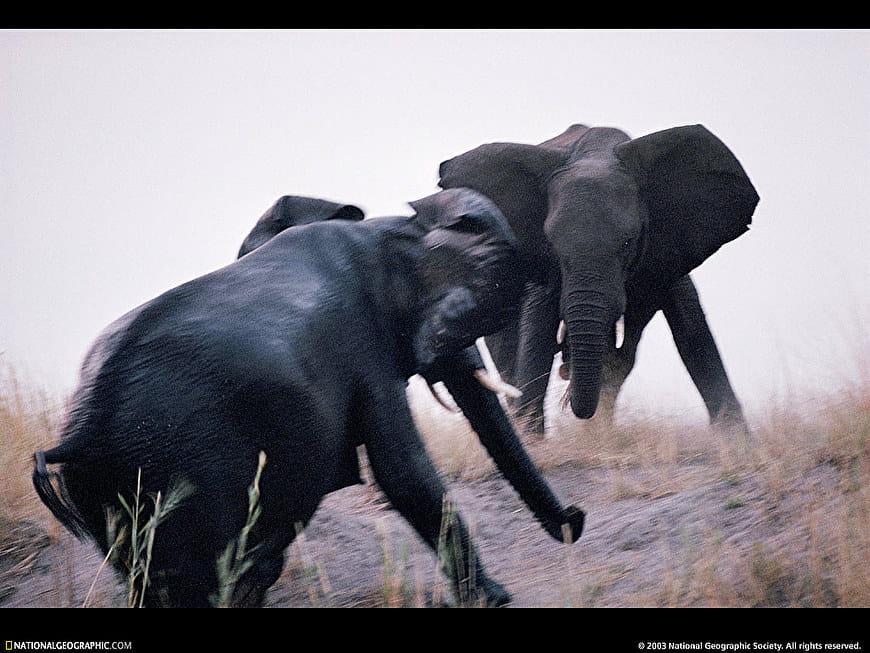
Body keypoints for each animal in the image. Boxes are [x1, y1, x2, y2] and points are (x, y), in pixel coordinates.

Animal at [32, 189, 585, 608]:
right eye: (464, 325)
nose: (576, 519)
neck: (391, 233)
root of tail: (79, 432)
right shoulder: (361, 340)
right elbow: (402, 470)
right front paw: (497, 599)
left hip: (113, 488)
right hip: (181, 469)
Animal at [438, 124, 760, 435]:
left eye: (629, 242)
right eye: (552, 244)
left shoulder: (669, 246)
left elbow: (693, 332)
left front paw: (736, 442)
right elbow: (536, 338)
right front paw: (534, 441)